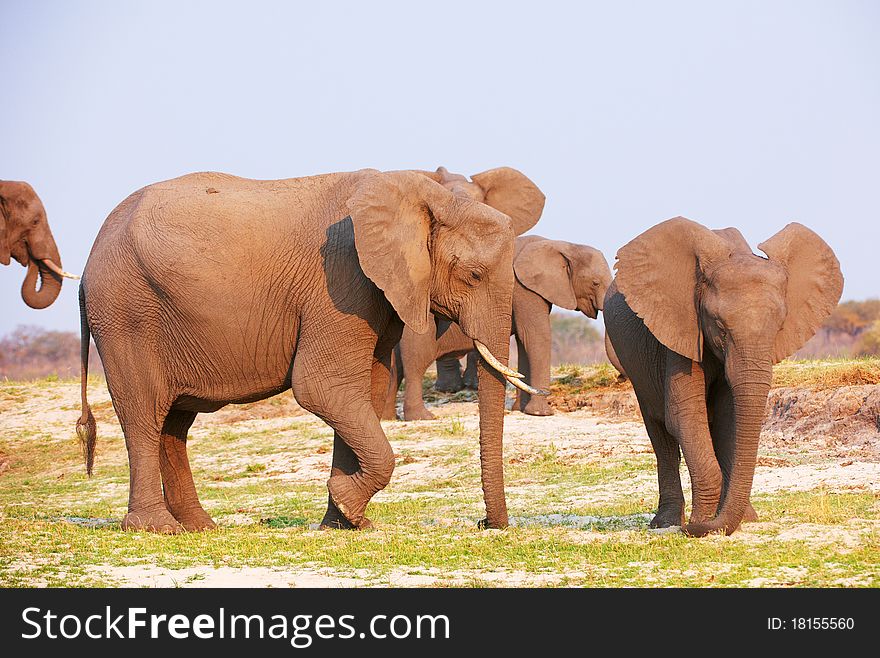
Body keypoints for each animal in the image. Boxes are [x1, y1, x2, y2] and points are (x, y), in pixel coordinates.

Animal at [384, 233, 612, 418]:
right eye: (595, 283)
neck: (563, 245)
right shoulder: (523, 290)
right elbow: (536, 337)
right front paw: (541, 413)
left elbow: (523, 342)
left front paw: (520, 410)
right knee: (416, 363)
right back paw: (422, 417)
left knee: (396, 367)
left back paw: (389, 418)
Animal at [600, 218, 844, 536]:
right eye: (719, 326)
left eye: (779, 327)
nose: (695, 527)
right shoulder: (679, 329)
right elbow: (684, 416)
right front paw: (702, 522)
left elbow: (730, 419)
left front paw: (735, 521)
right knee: (660, 431)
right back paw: (666, 523)